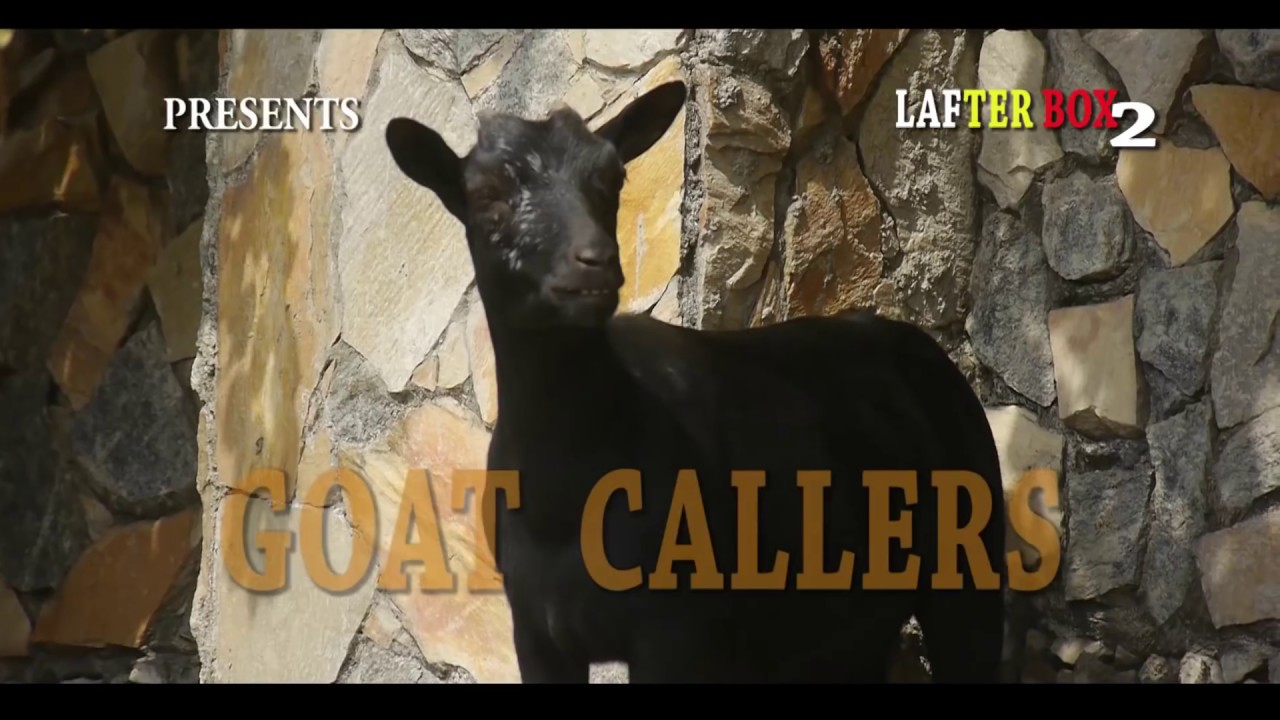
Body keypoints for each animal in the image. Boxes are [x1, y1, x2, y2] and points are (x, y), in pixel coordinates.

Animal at [384, 79, 1007, 683]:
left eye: (612, 177)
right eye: (486, 194)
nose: (594, 262)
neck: (565, 495)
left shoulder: (676, 627)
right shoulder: (536, 632)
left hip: (968, 560)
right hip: (846, 625)